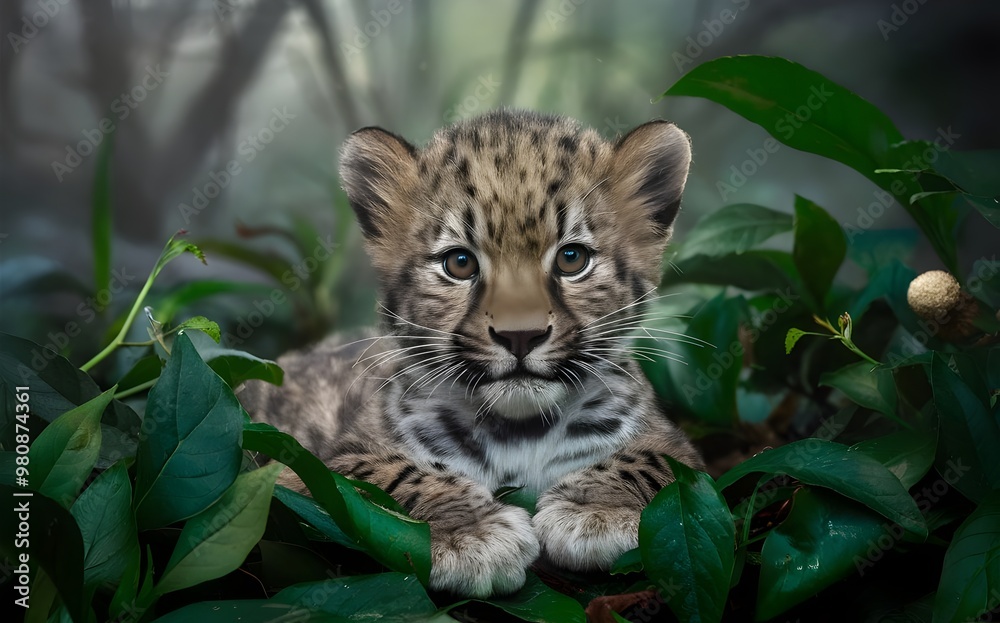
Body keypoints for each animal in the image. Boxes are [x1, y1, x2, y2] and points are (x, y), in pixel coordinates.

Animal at [237, 109, 705, 598]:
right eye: (459, 263)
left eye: (572, 258)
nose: (521, 336)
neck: (519, 432)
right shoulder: (314, 466)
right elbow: (389, 474)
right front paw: (474, 534)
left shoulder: (676, 446)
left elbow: (647, 460)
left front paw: (597, 511)